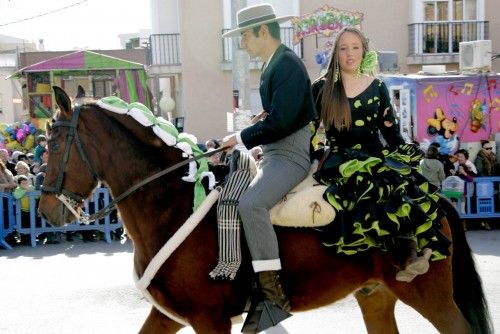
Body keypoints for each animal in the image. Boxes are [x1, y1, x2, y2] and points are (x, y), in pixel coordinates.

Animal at [39, 86, 492, 334]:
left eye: (54, 144)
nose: (44, 210)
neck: (173, 202)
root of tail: (431, 197)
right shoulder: (169, 317)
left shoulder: (210, 320)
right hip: (376, 297)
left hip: (428, 295)